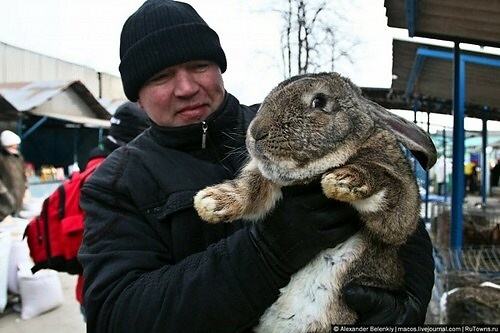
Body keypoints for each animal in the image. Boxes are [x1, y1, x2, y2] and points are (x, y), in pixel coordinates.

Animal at [193, 72, 436, 330]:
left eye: (319, 101)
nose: (256, 132)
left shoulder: (400, 194)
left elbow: (390, 191)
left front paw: (343, 181)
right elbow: (250, 188)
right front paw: (210, 203)